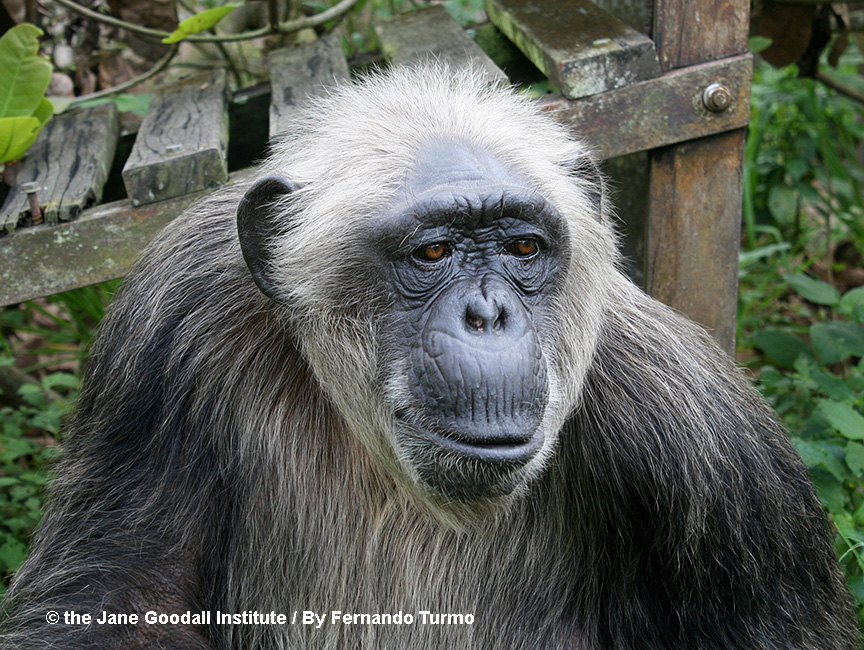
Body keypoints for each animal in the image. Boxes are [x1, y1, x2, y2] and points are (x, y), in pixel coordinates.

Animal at [0, 65, 858, 649]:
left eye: (522, 247)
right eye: (434, 251)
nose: (487, 314)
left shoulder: (719, 459)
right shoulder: (163, 326)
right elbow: (114, 597)